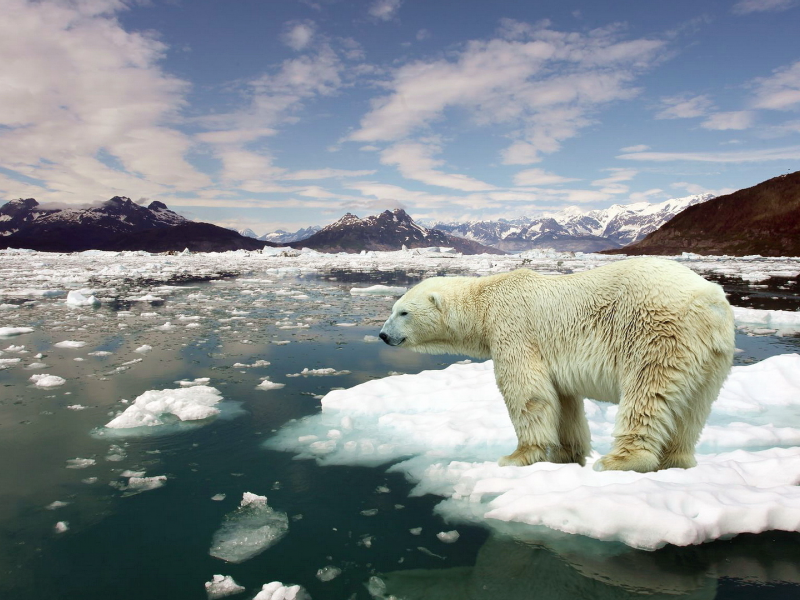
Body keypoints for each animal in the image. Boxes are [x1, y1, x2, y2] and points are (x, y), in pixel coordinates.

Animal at [378, 258, 736, 474]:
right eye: (393, 309)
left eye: (403, 312)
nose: (382, 335)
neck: (485, 301)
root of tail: (710, 301)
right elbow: (563, 401)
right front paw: (567, 454)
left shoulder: (513, 327)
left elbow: (526, 391)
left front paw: (517, 456)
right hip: (712, 356)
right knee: (693, 408)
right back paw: (677, 461)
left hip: (657, 333)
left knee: (647, 393)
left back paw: (619, 460)